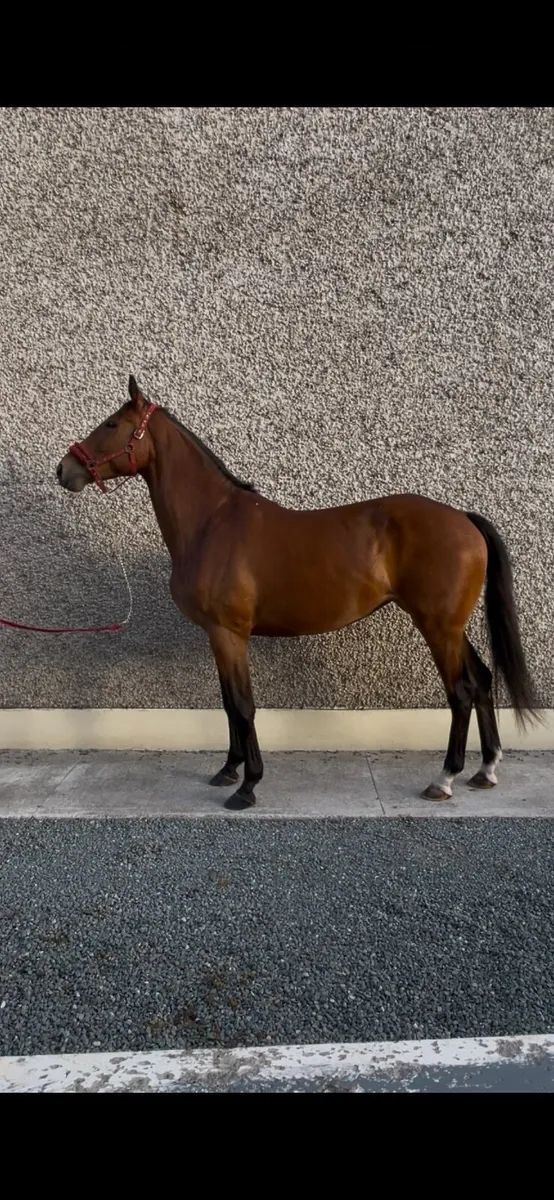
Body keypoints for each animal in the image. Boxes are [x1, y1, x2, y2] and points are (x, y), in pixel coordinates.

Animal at [56, 375, 538, 810]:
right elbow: (228, 704)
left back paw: (444, 779)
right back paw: (485, 770)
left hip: (437, 627)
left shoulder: (229, 633)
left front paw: (247, 787)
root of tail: (463, 518)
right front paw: (227, 770)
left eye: (112, 424)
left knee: (460, 692)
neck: (212, 522)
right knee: (482, 681)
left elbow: (243, 705)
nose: (64, 469)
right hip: (452, 627)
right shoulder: (217, 636)